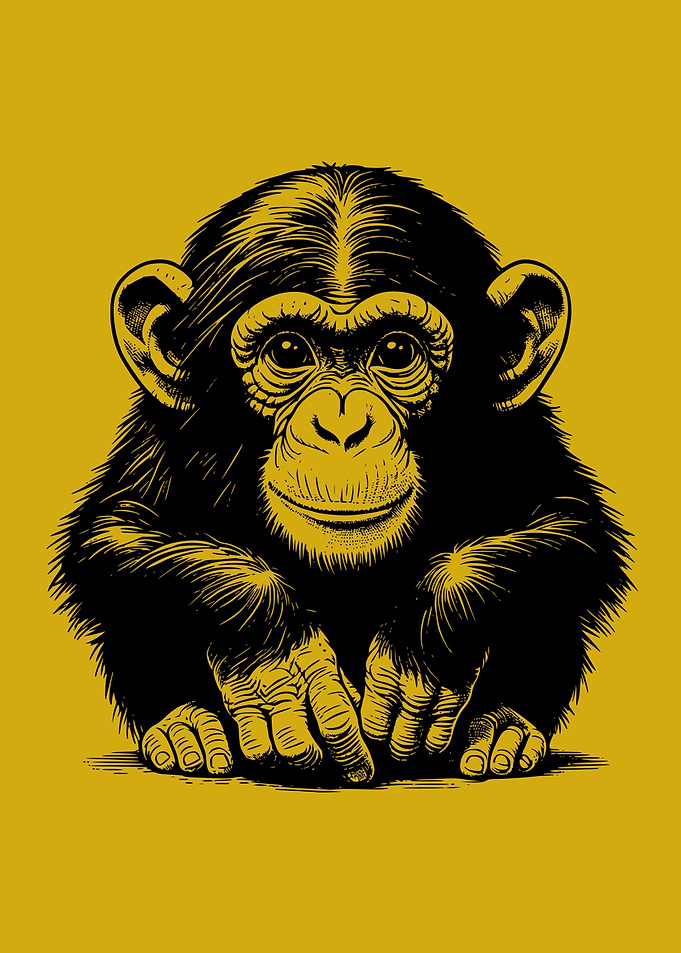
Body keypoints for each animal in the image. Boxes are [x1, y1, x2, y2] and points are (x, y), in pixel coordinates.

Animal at [51, 164, 631, 784]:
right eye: (288, 351)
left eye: (396, 352)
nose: (343, 426)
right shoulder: (163, 437)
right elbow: (119, 532)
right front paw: (280, 662)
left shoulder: (518, 436)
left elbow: (565, 525)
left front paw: (419, 648)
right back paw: (185, 727)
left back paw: (503, 727)